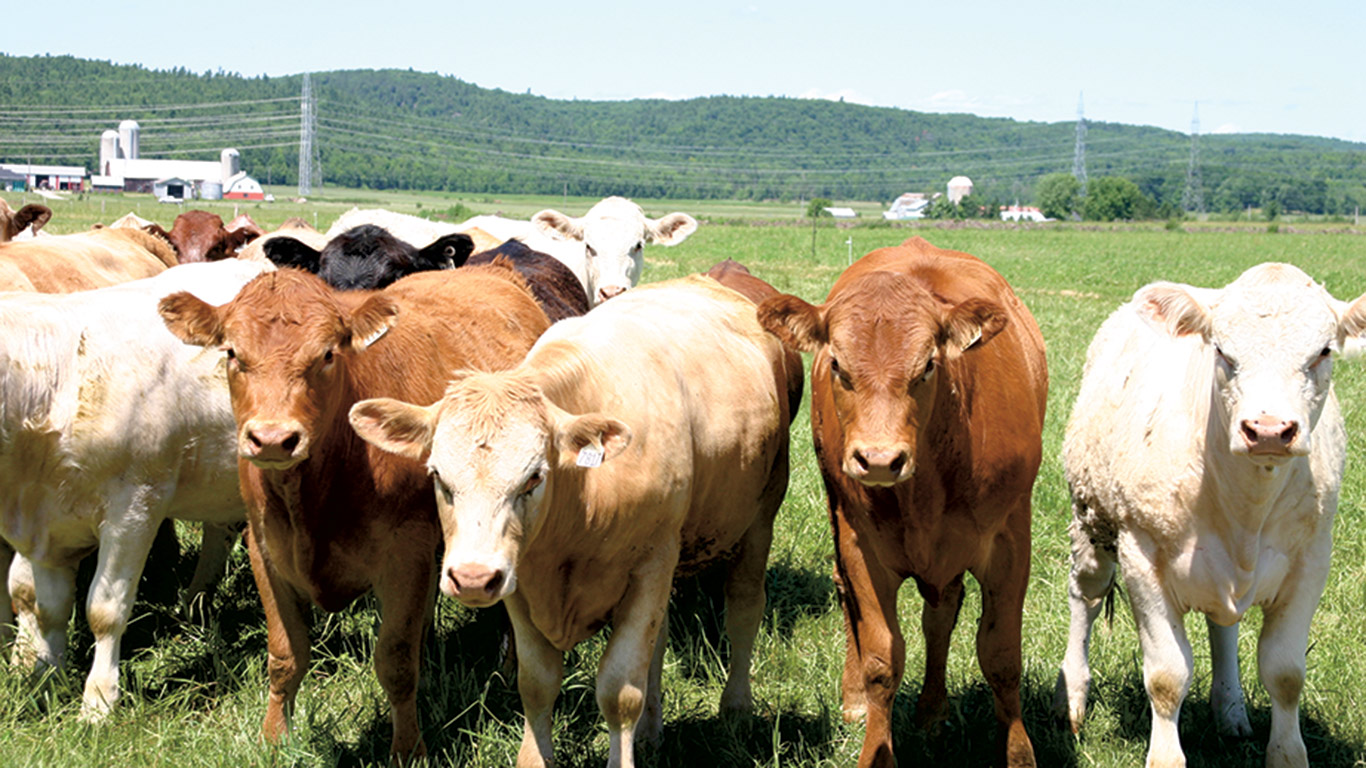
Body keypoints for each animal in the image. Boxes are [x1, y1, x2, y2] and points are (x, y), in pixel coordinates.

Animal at [0, 258, 269, 716]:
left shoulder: (135, 507)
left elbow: (104, 609)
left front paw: (98, 703)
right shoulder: (46, 525)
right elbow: (49, 607)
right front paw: (46, 680)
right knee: (221, 531)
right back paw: (195, 604)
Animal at [155, 262, 549, 754]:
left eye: (326, 354)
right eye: (232, 352)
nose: (272, 438)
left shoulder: (405, 553)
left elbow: (395, 662)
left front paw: (408, 751)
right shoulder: (265, 547)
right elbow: (285, 654)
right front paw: (273, 738)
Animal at [759, 236, 1043, 759]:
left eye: (928, 365)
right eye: (837, 365)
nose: (878, 460)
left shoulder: (1011, 542)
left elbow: (1001, 657)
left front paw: (1019, 754)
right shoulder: (862, 545)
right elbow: (882, 659)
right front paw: (875, 747)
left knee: (941, 614)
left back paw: (932, 710)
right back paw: (859, 700)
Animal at [1054, 262, 1366, 765]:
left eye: (1323, 351)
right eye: (1221, 350)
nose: (1269, 430)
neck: (1246, 506)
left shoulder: (1312, 560)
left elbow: (1285, 673)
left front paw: (1286, 753)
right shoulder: (1143, 559)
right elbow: (1167, 676)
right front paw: (1164, 757)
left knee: (1224, 627)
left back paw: (1231, 710)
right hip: (1091, 521)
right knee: (1087, 594)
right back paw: (1073, 699)